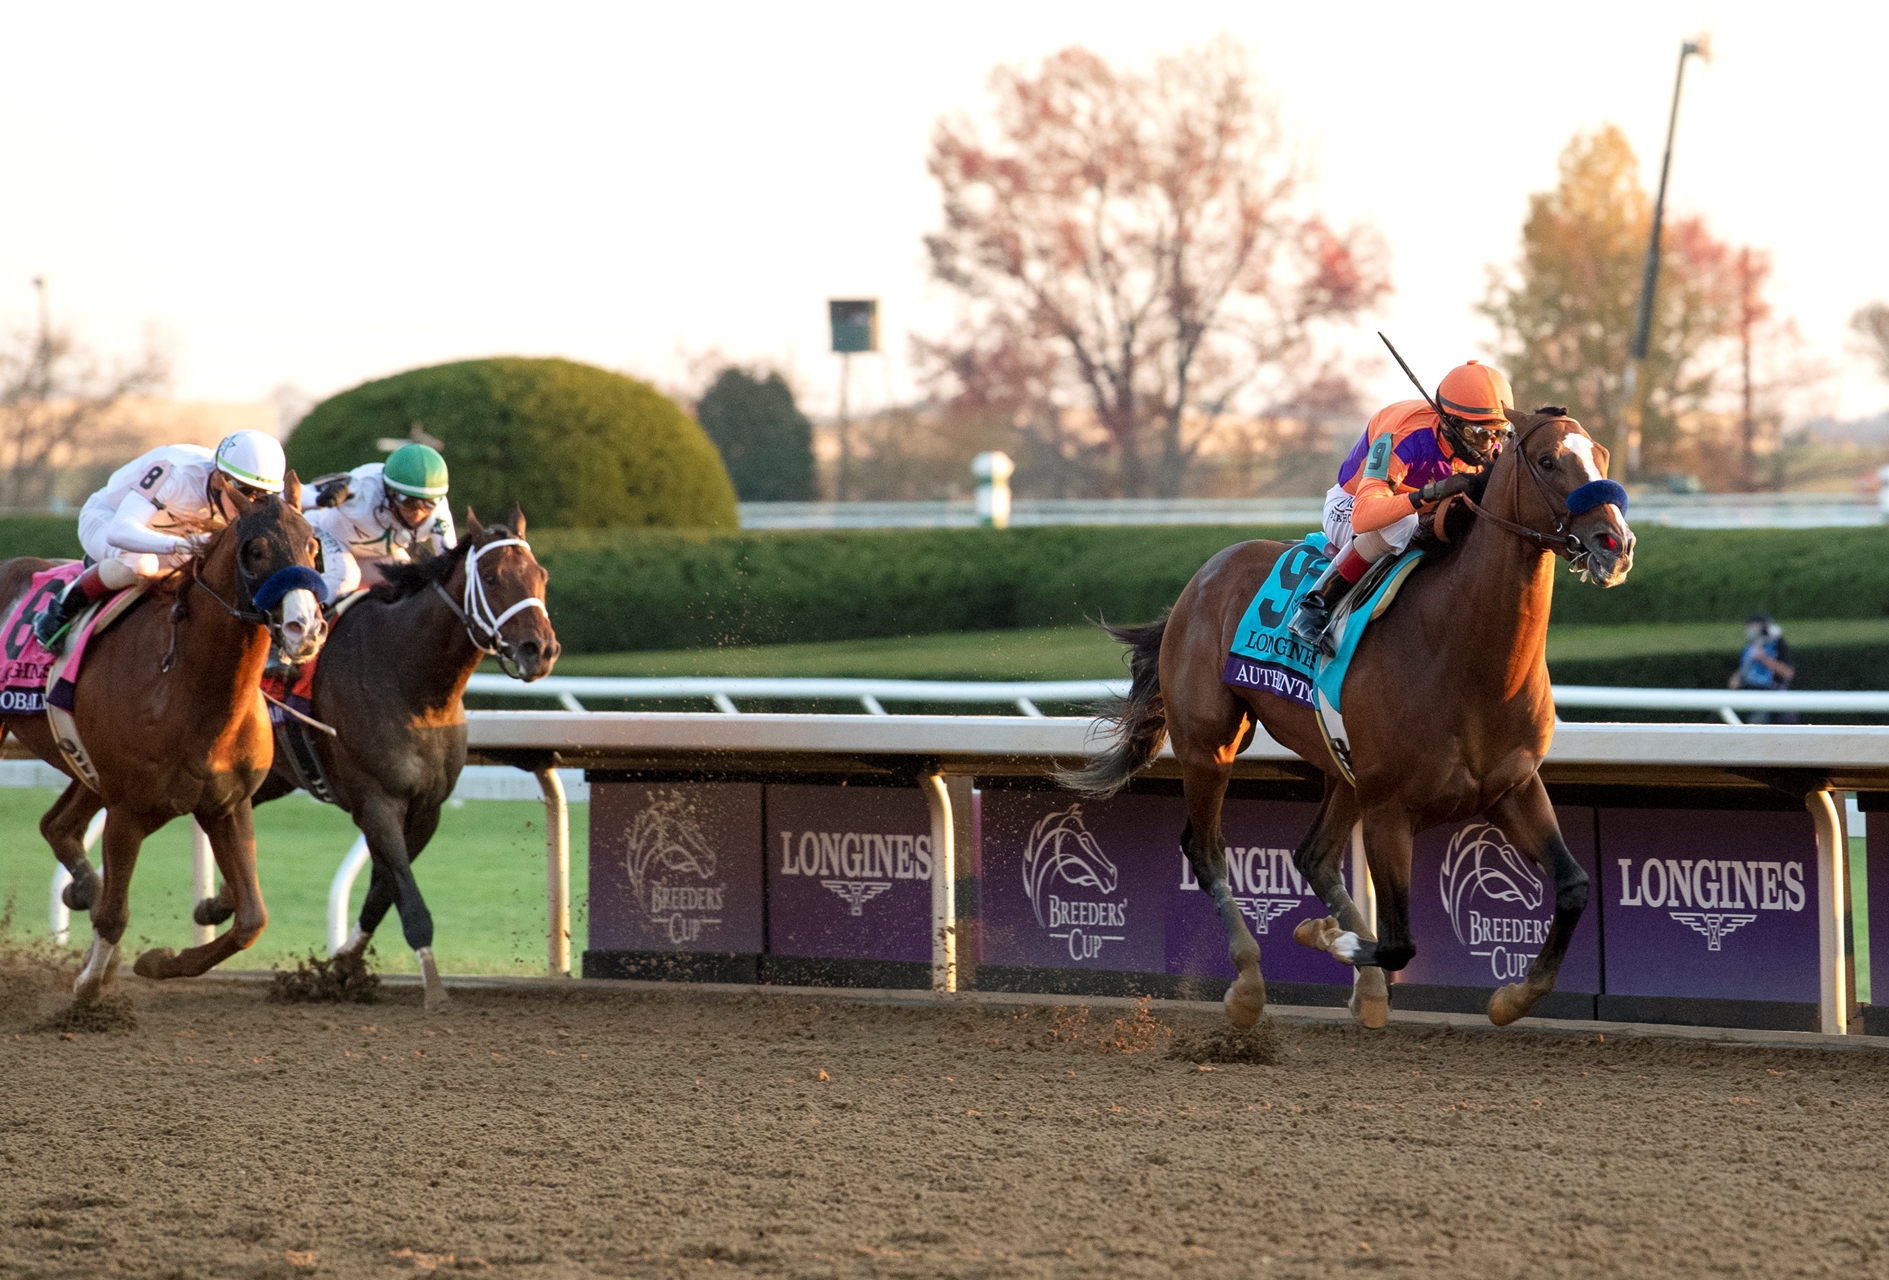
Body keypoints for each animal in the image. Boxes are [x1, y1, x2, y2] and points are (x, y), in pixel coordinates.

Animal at [0, 481, 324, 1004]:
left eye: (313, 545)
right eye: (255, 550)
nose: (305, 627)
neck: (184, 683)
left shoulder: (226, 805)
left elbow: (251, 920)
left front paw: (158, 961)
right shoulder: (128, 811)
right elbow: (114, 915)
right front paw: (90, 986)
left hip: (86, 766)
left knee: (58, 826)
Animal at [207, 509, 562, 1011]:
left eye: (541, 576)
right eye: (492, 577)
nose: (540, 650)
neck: (410, 680)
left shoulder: (426, 809)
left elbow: (382, 891)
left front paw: (337, 970)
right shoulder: (377, 802)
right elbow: (407, 897)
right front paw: (434, 989)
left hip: (268, 775)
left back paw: (218, 902)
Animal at [1065, 411, 1639, 1034]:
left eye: (1602, 456)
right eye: (1548, 461)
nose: (1616, 544)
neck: (1465, 656)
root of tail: (1201, 578)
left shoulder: (1512, 786)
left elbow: (1574, 886)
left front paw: (1512, 997)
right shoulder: (1390, 807)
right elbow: (1398, 942)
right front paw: (1326, 937)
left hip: (1342, 767)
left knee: (1313, 856)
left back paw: (1364, 989)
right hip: (1209, 744)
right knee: (1207, 849)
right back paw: (1249, 983)